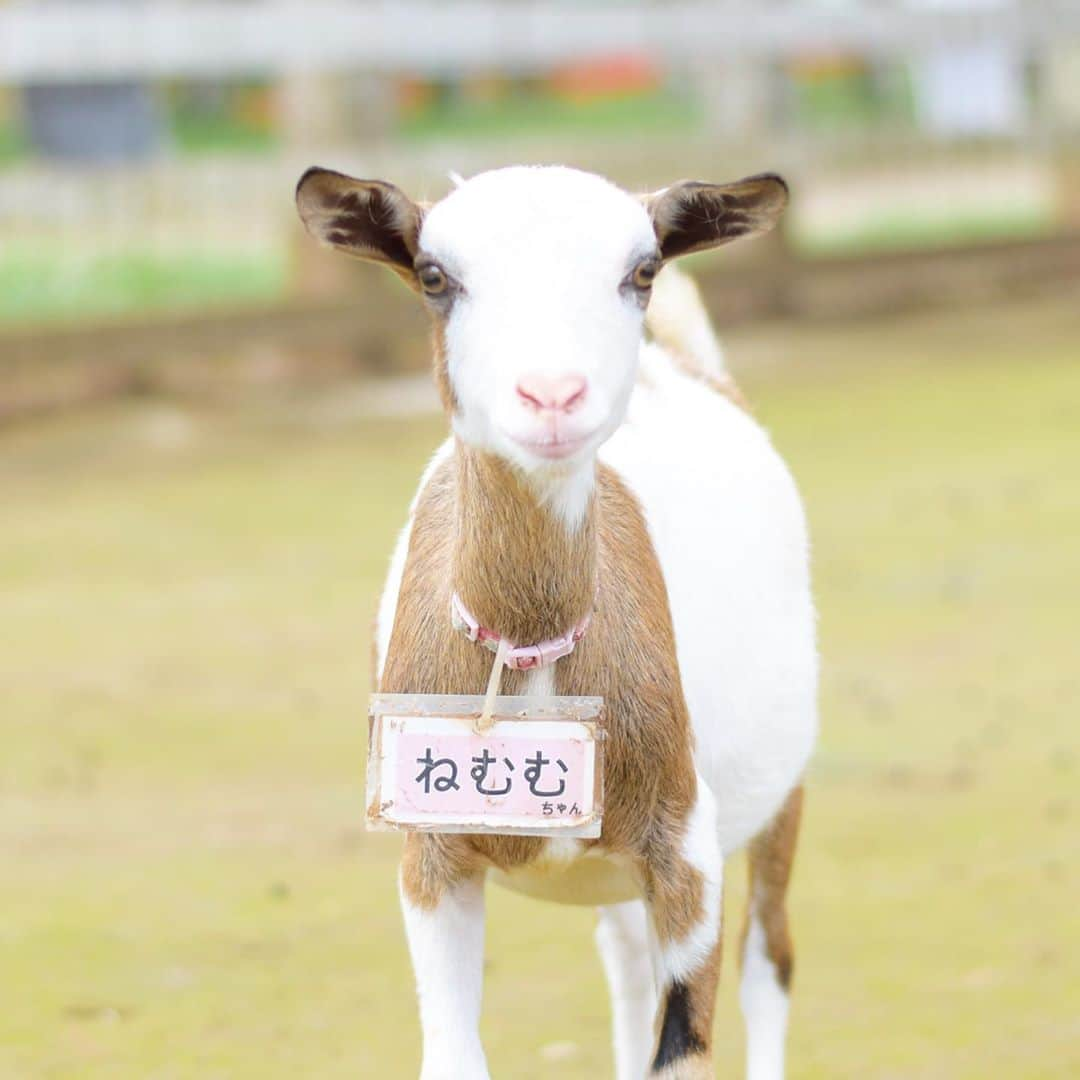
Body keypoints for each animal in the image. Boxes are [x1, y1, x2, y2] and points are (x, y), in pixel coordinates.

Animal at [298, 162, 816, 1080]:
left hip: (779, 792)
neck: (527, 652)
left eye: (641, 270)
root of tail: (685, 366)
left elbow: (685, 1049)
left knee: (769, 962)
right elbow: (454, 1056)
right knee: (629, 967)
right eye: (434, 276)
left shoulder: (686, 852)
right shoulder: (431, 861)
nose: (552, 395)